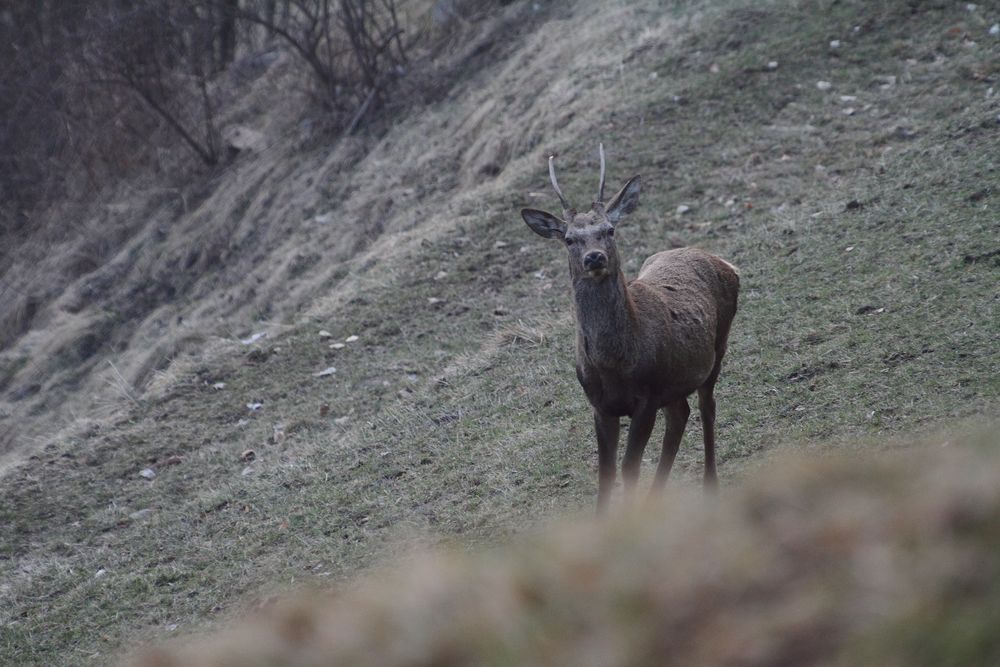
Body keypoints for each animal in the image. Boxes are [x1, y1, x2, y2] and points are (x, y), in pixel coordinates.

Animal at [520, 146, 740, 512]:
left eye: (610, 230)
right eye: (569, 239)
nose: (594, 257)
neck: (614, 365)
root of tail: (724, 262)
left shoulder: (646, 397)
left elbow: (629, 468)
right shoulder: (600, 405)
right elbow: (606, 473)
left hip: (716, 348)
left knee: (706, 408)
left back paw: (710, 485)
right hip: (673, 382)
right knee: (680, 415)